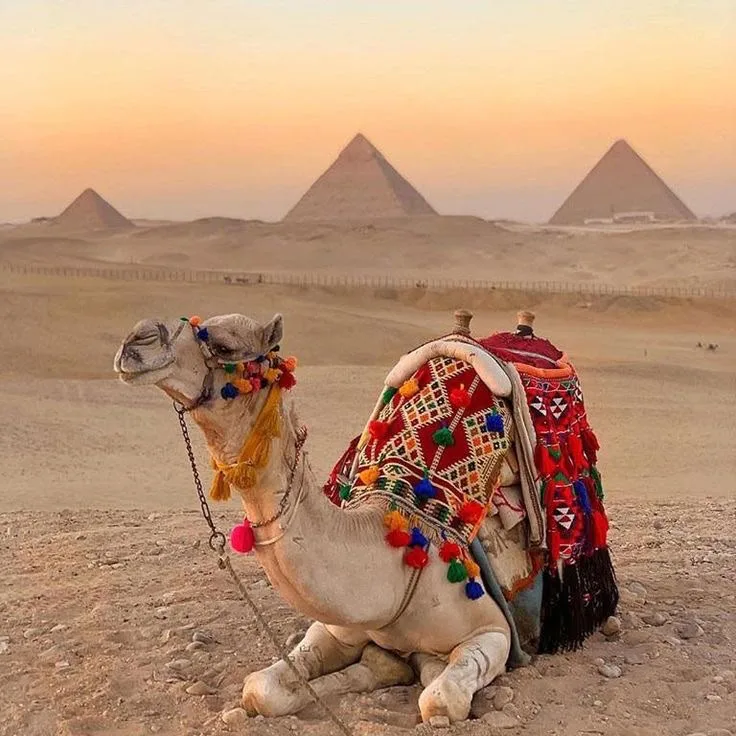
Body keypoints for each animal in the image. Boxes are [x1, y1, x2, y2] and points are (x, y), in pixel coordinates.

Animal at [113, 311, 613, 725]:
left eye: (223, 344)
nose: (135, 339)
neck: (399, 553)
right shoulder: (337, 625)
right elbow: (261, 690)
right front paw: (375, 668)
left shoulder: (493, 633)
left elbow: (438, 698)